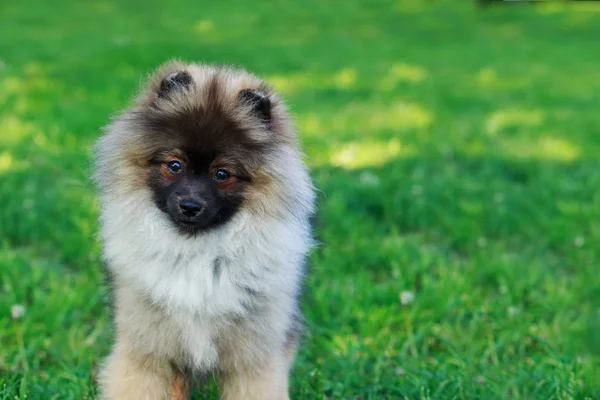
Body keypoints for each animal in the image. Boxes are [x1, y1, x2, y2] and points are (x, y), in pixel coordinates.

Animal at [95, 60, 314, 400]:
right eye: (174, 166)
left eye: (222, 174)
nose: (190, 205)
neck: (197, 251)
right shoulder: (146, 351)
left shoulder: (253, 359)